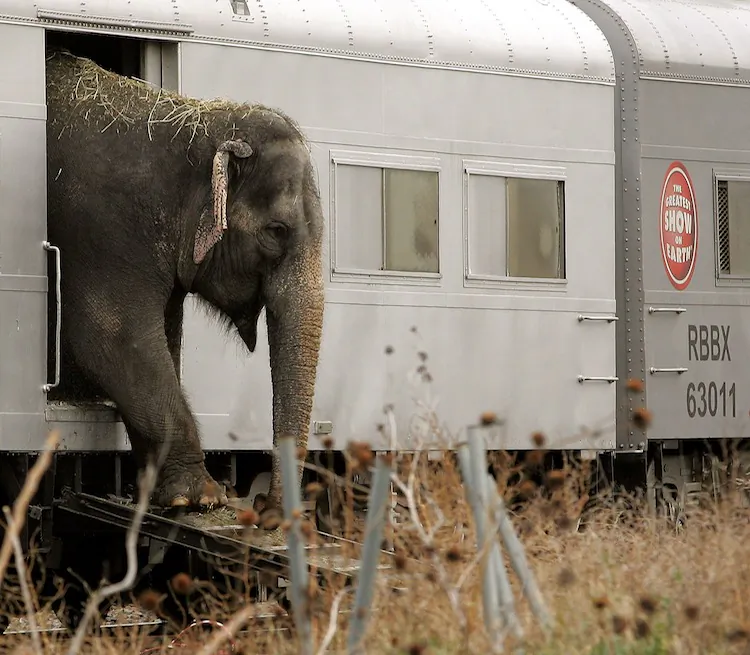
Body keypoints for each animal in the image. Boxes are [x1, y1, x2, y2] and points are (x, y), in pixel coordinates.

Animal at [44, 50, 325, 512]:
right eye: (277, 230)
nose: (263, 507)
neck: (193, 120)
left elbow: (164, 336)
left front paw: (161, 493)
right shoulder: (102, 228)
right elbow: (112, 338)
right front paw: (200, 498)